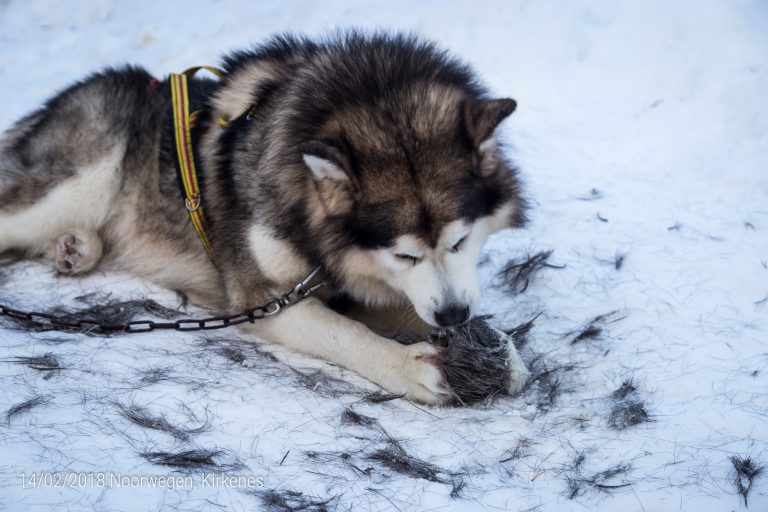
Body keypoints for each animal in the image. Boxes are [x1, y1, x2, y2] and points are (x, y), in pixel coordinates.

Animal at [0, 34, 528, 406]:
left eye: (460, 242)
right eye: (404, 254)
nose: (454, 316)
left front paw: (500, 350)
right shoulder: (266, 299)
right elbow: (348, 333)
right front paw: (410, 365)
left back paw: (76, 248)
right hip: (77, 182)